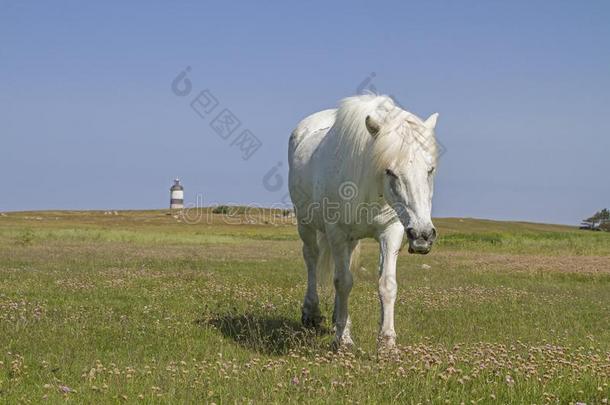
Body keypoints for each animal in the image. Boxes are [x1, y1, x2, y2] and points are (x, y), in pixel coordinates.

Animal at [288, 94, 440, 348]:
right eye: (390, 171)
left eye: (430, 170)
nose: (422, 236)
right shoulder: (337, 233)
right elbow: (342, 282)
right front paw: (343, 341)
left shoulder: (391, 231)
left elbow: (386, 284)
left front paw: (386, 342)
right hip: (306, 224)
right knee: (312, 258)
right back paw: (312, 313)